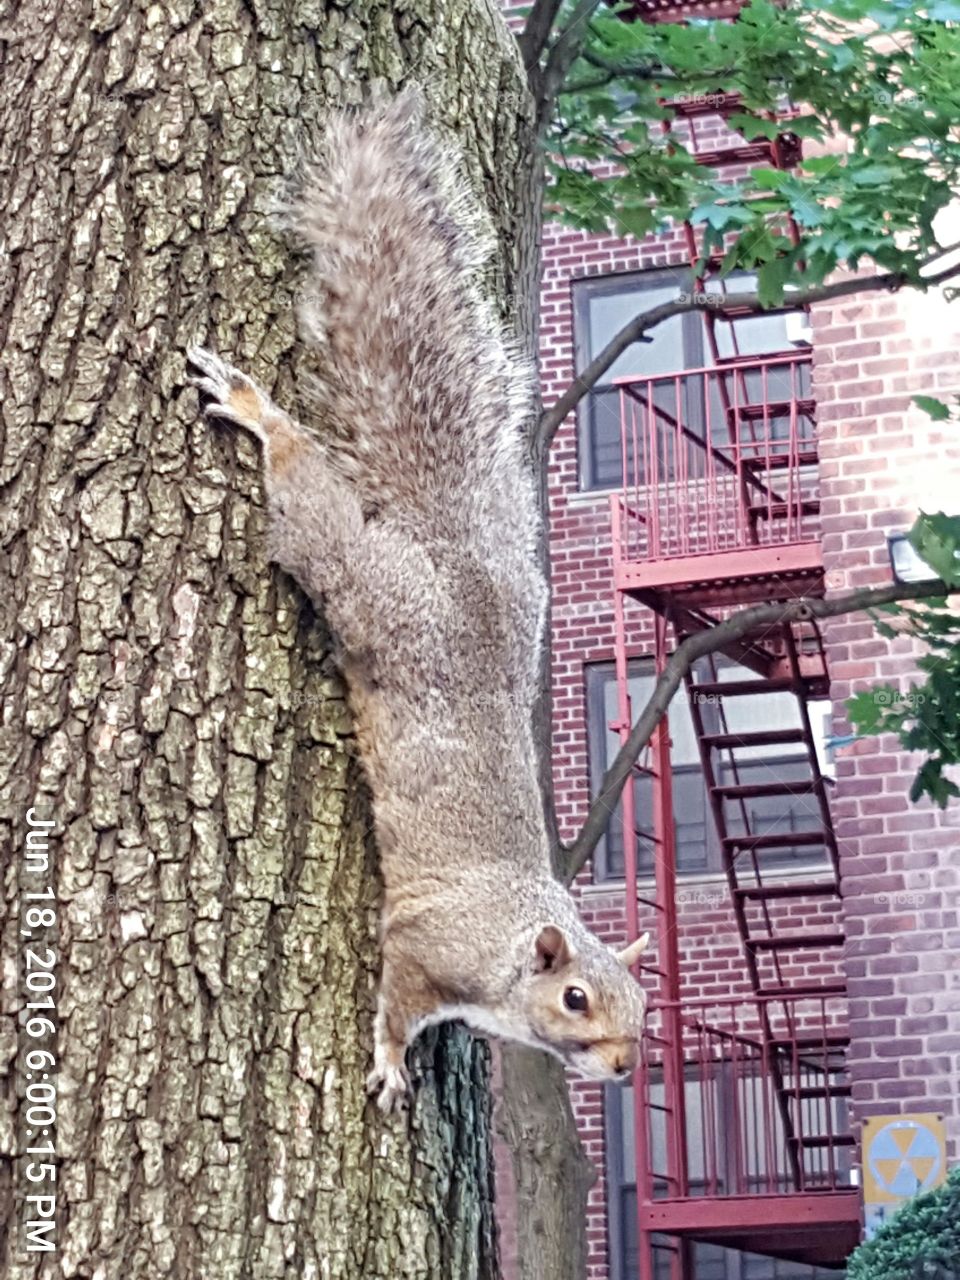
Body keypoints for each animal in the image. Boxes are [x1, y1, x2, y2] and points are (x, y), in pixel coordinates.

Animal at [188, 91, 649, 1112]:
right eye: (575, 997)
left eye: (644, 1006)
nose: (624, 1064)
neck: (510, 953)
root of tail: (459, 579)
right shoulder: (422, 947)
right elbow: (395, 1003)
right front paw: (393, 1064)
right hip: (366, 585)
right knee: (311, 497)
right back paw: (258, 411)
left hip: (520, 600)